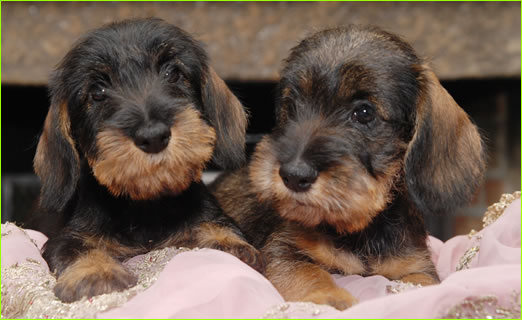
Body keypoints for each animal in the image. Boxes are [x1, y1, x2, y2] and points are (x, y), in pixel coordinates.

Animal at [31, 17, 260, 302]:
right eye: (97, 91)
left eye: (173, 73)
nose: (153, 136)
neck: (145, 207)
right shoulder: (63, 238)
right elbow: (73, 248)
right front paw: (95, 273)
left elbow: (218, 227)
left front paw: (229, 245)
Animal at [210, 26, 484, 312]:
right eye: (292, 105)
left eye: (364, 112)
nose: (294, 175)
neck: (358, 230)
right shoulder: (282, 249)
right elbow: (306, 271)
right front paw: (329, 296)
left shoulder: (417, 264)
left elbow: (423, 281)